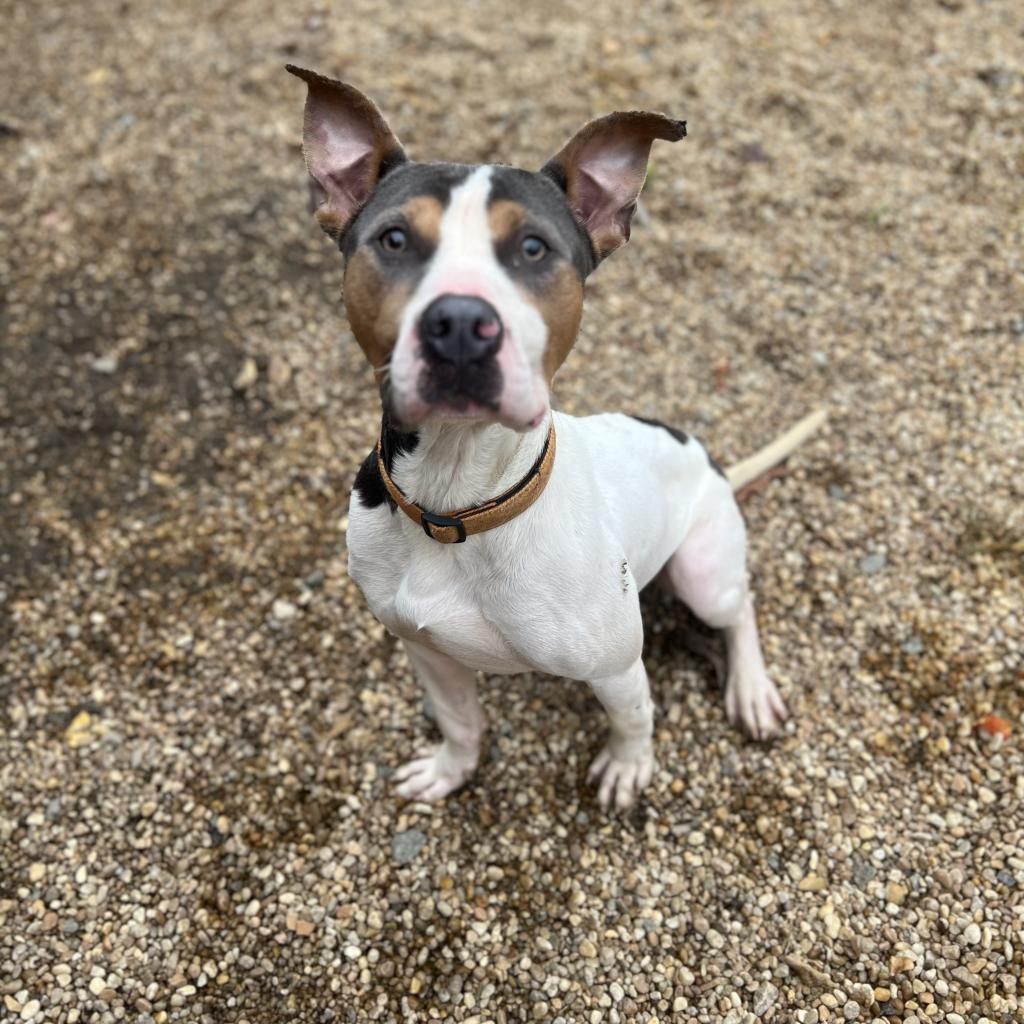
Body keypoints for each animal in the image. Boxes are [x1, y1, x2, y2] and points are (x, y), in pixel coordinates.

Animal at [286, 68, 823, 811]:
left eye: (533, 248)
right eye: (394, 240)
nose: (460, 325)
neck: (459, 501)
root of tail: (708, 459)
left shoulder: (617, 665)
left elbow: (635, 721)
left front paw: (628, 768)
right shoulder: (425, 650)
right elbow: (460, 721)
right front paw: (451, 770)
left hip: (702, 570)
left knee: (738, 608)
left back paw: (749, 688)